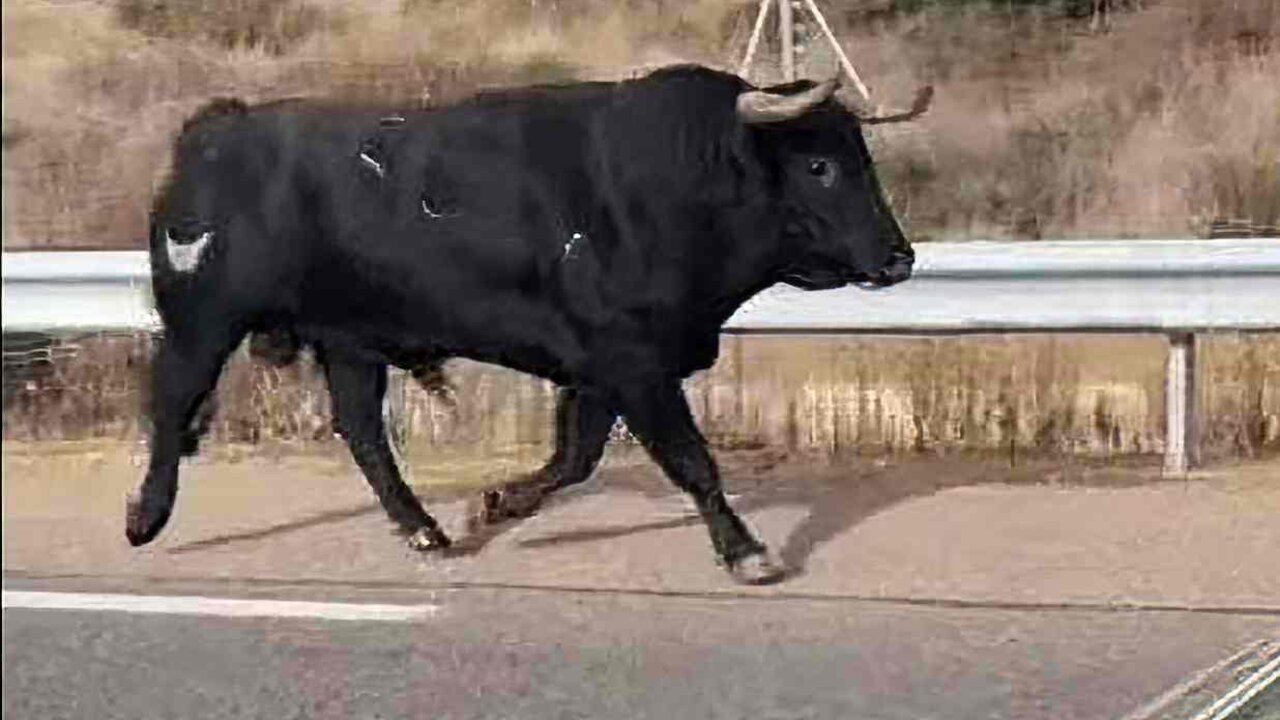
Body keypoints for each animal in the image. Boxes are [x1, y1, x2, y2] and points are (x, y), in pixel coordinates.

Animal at [127, 64, 931, 584]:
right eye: (820, 165)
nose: (899, 258)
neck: (666, 184)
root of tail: (221, 124)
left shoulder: (605, 369)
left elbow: (574, 458)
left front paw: (499, 503)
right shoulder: (635, 362)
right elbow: (691, 460)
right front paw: (745, 551)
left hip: (350, 341)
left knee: (361, 431)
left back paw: (424, 529)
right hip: (204, 321)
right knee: (171, 402)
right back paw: (145, 516)